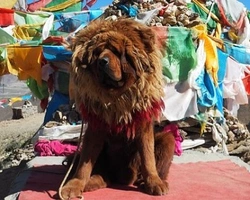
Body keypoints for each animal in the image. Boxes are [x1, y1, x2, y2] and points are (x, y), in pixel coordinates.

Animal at [60, 18, 175, 198]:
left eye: (115, 51)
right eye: (97, 53)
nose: (102, 61)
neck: (116, 96)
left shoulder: (143, 126)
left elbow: (148, 159)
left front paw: (154, 182)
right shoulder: (95, 129)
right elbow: (84, 164)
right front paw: (74, 185)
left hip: (167, 139)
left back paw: (146, 181)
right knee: (99, 172)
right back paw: (91, 181)